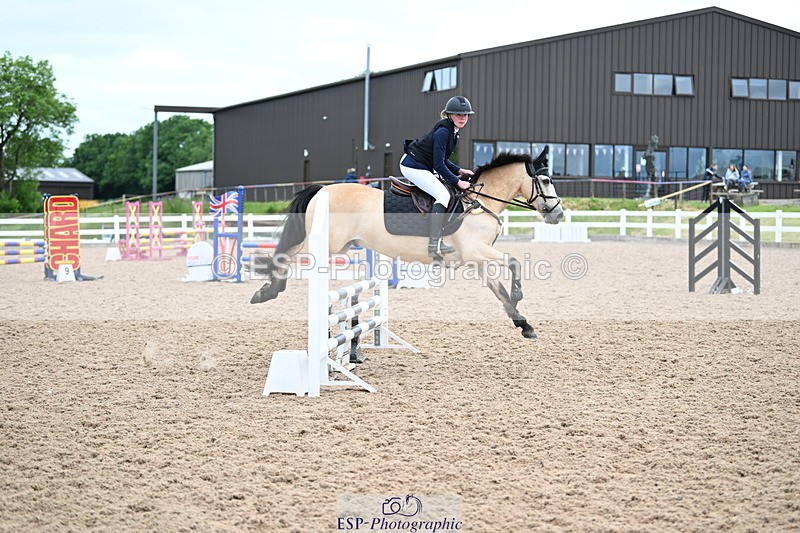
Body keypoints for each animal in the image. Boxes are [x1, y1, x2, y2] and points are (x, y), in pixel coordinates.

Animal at [249, 149, 564, 339]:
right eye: (547, 180)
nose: (558, 214)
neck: (480, 202)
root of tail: (322, 190)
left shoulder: (477, 259)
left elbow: (500, 293)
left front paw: (524, 324)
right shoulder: (476, 251)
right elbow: (514, 262)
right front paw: (520, 297)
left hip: (340, 245)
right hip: (328, 244)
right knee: (287, 256)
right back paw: (267, 291)